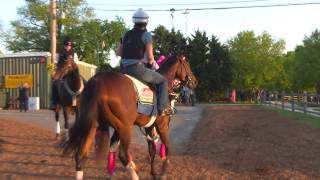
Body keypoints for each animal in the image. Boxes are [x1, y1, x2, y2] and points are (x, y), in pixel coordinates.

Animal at [62, 54, 198, 179]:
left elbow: (152, 151)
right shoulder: (162, 125)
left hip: (95, 125)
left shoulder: (148, 127)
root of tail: (98, 82)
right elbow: (168, 149)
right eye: (188, 65)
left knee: (80, 156)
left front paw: (153, 173)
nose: (195, 81)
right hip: (125, 127)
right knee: (122, 154)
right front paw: (163, 172)